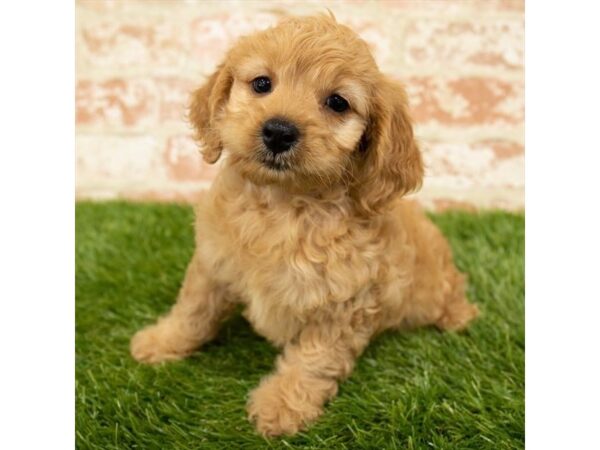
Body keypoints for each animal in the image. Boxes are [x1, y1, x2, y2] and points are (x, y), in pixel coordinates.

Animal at [130, 14, 478, 436]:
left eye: (337, 102)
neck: (283, 205)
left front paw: (282, 405)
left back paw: (460, 317)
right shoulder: (213, 262)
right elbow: (193, 309)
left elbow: (314, 358)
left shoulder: (343, 304)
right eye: (262, 83)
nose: (279, 131)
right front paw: (162, 341)